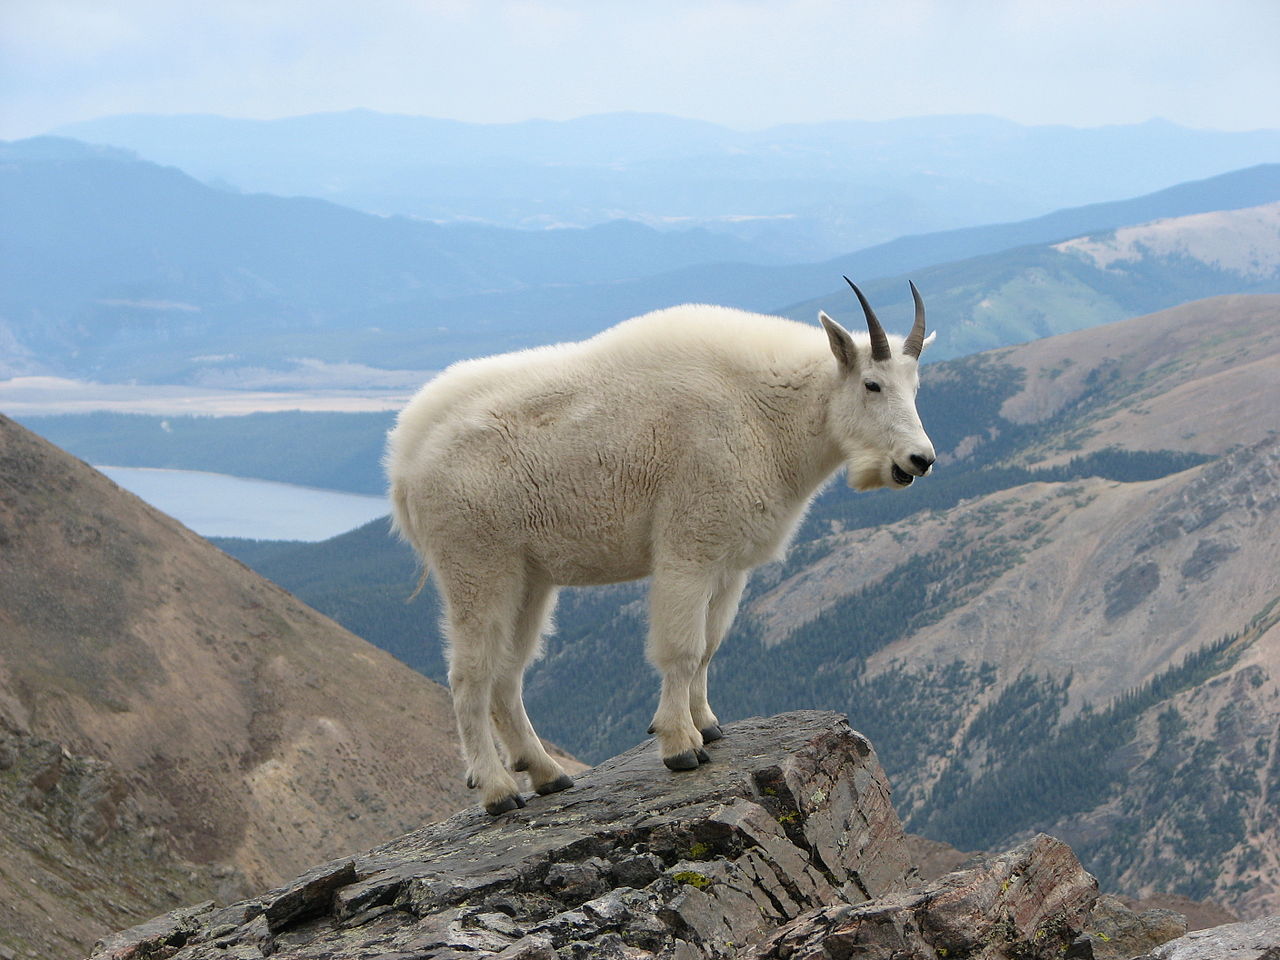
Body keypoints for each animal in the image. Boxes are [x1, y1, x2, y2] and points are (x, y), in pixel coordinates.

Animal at [384, 280, 936, 819]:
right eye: (871, 384)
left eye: (915, 387)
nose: (920, 460)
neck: (768, 411)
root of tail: (404, 460)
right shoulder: (687, 549)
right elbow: (682, 648)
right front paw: (680, 745)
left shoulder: (728, 564)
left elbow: (710, 646)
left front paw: (708, 724)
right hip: (476, 565)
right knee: (469, 676)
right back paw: (497, 790)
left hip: (528, 578)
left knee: (507, 674)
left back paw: (547, 773)